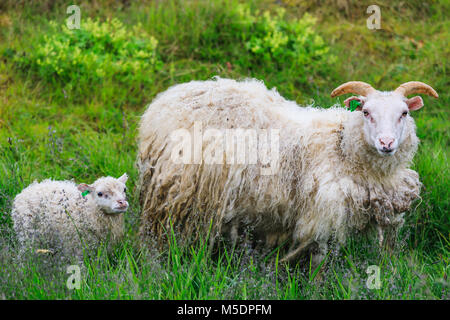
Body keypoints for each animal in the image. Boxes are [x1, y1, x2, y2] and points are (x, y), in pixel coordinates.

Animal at [136, 77, 436, 264]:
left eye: (404, 113)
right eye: (366, 112)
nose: (387, 143)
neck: (341, 146)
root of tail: (162, 104)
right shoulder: (323, 212)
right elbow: (319, 259)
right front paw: (315, 287)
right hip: (177, 196)